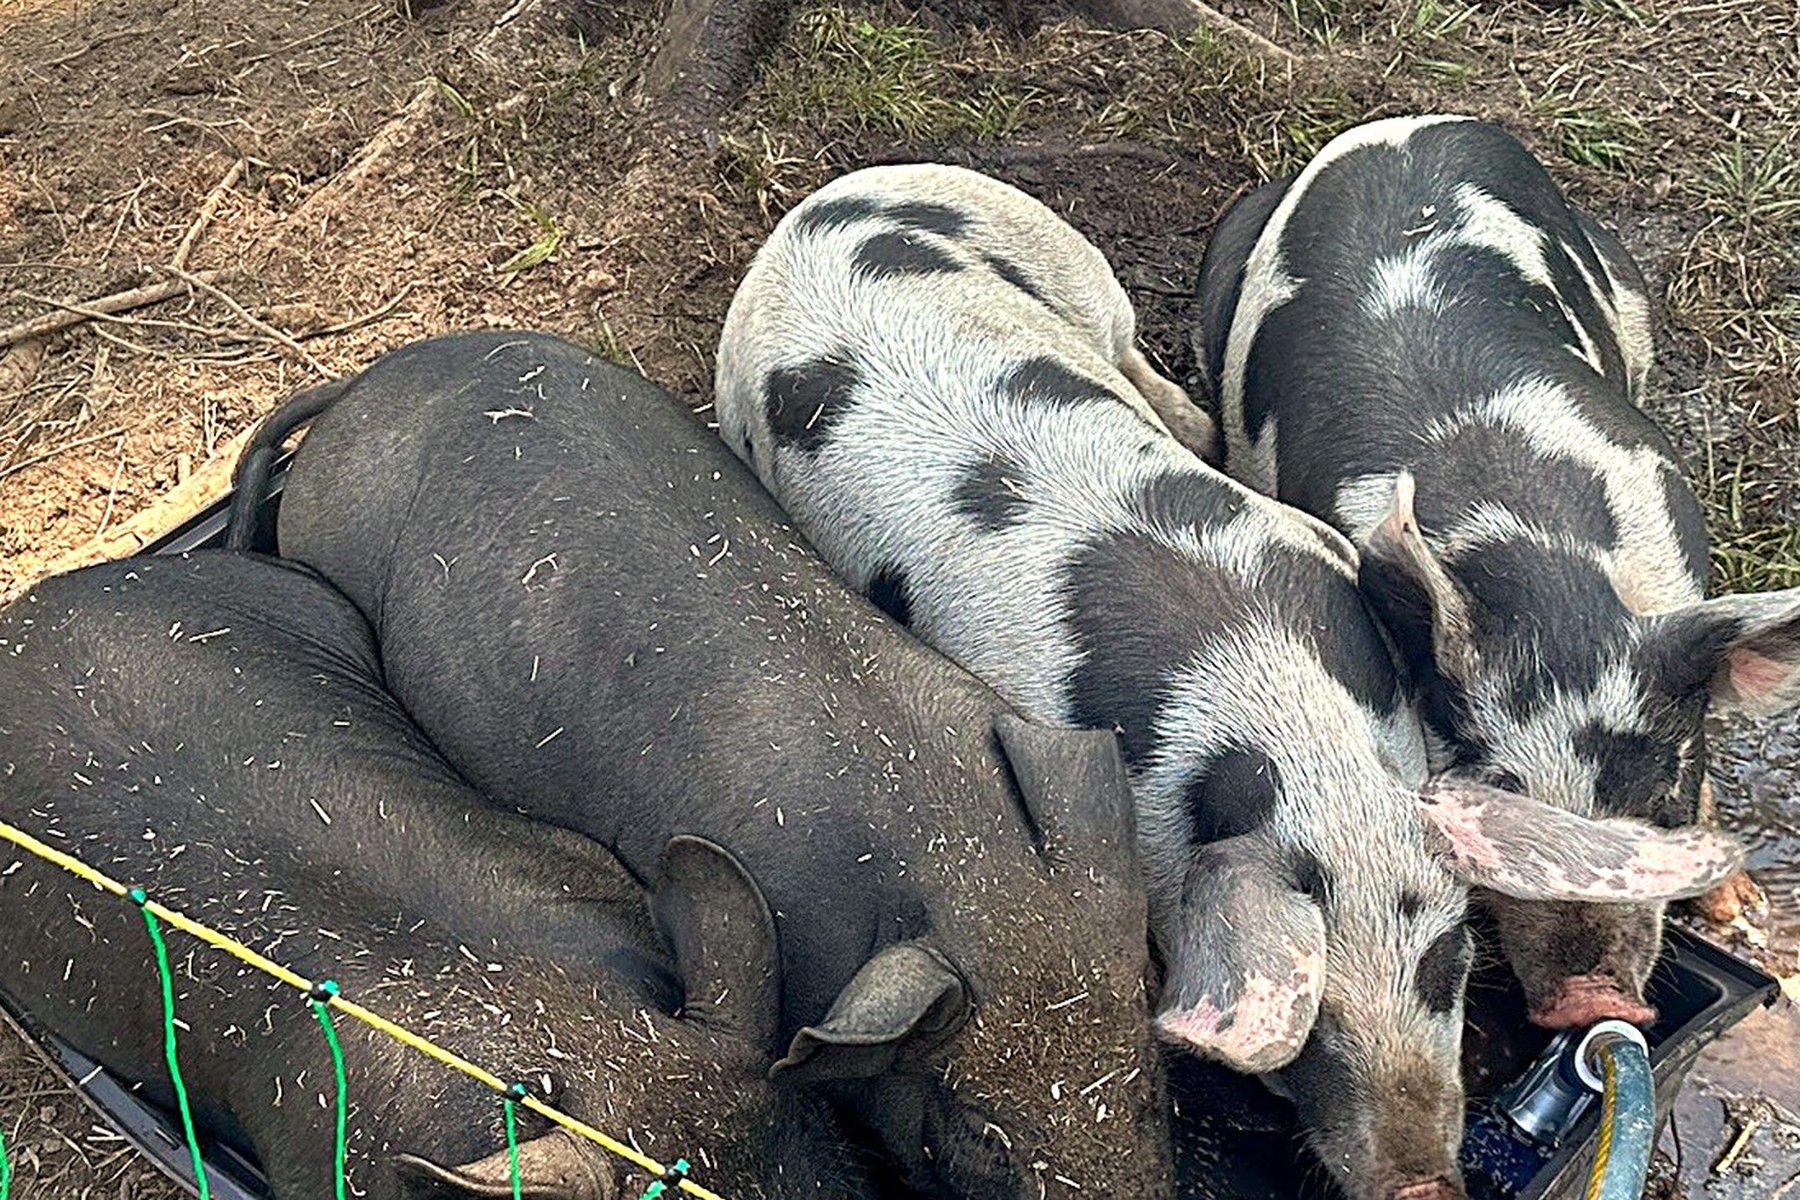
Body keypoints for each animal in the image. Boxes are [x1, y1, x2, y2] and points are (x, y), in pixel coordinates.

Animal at [709, 162, 1744, 1200]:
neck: (1278, 718)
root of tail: (818, 207)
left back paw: (1195, 426)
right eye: (1309, 1023)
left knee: (1128, 348)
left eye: (1448, 959)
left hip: (1068, 264)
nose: (1421, 1183)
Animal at [1191, 113, 1790, 1028]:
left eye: (1659, 804)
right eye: (1497, 807)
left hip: (1625, 286)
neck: (1543, 565)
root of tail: (1409, 121)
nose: (1589, 1001)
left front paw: (1737, 905)